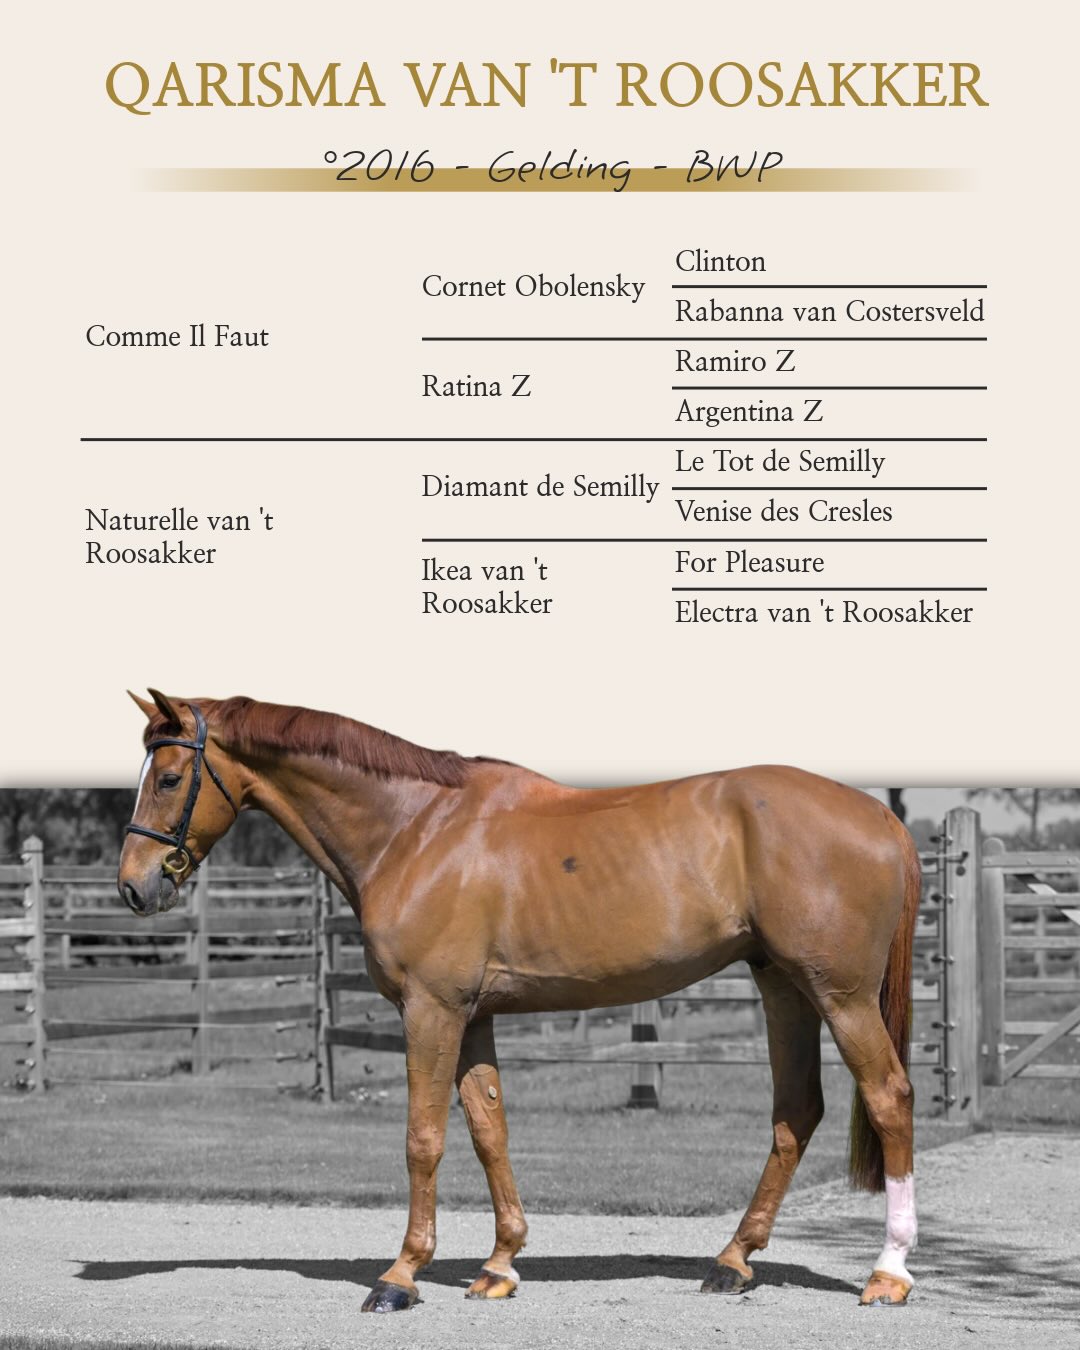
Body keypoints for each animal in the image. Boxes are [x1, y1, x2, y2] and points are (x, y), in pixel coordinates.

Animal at [117, 690, 920, 1313]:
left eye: (170, 776)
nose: (134, 885)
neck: (417, 828)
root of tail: (881, 818)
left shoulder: (432, 1009)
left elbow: (423, 1138)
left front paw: (400, 1276)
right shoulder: (472, 1016)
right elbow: (487, 1130)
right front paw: (499, 1264)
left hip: (840, 996)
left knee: (889, 1097)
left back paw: (888, 1273)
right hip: (782, 984)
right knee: (797, 1112)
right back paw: (732, 1261)